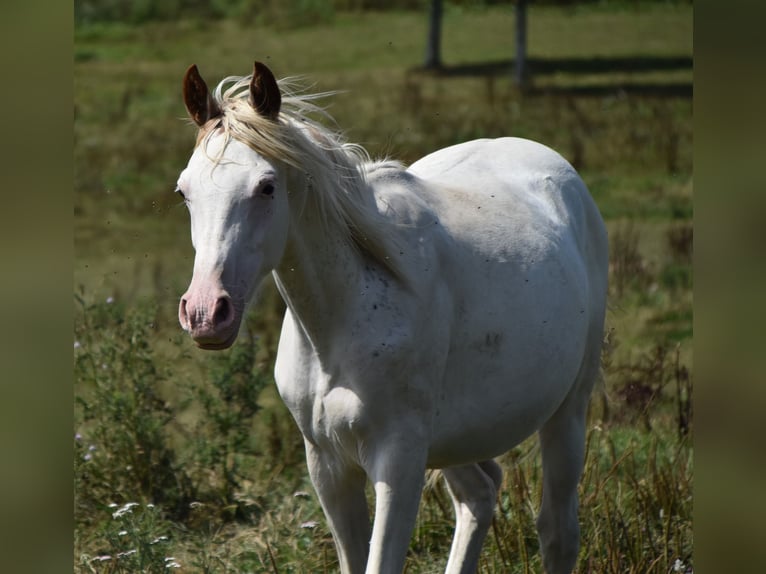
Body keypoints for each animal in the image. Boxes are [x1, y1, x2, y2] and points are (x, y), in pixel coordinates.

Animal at [177, 63, 608, 574]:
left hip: (566, 413)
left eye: (266, 186)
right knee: (480, 497)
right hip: (455, 440)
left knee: (557, 531)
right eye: (184, 191)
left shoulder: (397, 462)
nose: (206, 313)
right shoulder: (328, 465)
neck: (342, 320)